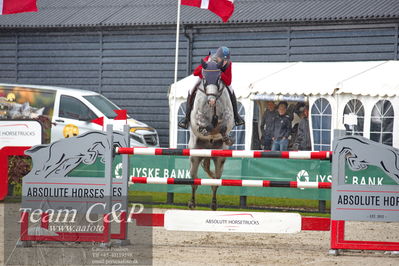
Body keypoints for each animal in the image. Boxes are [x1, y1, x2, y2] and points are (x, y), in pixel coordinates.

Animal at [189, 59, 236, 210]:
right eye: (204, 78)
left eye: (218, 78)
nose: (211, 101)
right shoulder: (196, 119)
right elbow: (203, 124)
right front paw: (207, 129)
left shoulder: (228, 118)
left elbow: (224, 126)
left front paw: (227, 138)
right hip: (194, 156)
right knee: (194, 180)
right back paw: (192, 203)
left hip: (219, 159)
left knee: (215, 182)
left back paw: (214, 204)